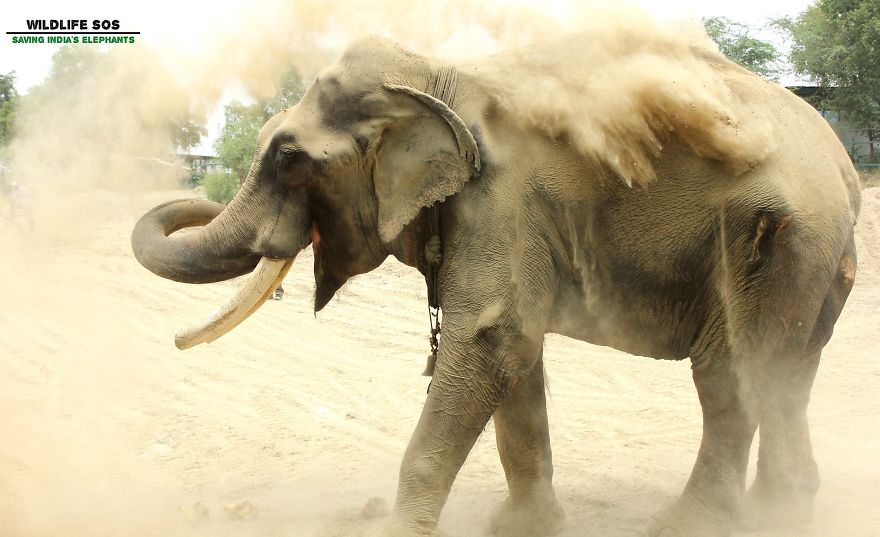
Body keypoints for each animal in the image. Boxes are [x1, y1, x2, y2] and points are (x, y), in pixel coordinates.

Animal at [132, 29, 860, 537]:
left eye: (288, 157)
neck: (435, 77)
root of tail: (845, 169)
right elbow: (516, 359)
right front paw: (525, 529)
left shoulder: (497, 197)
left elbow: (492, 342)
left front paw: (395, 532)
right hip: (814, 260)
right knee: (790, 375)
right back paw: (784, 512)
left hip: (775, 237)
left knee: (731, 376)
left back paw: (693, 526)